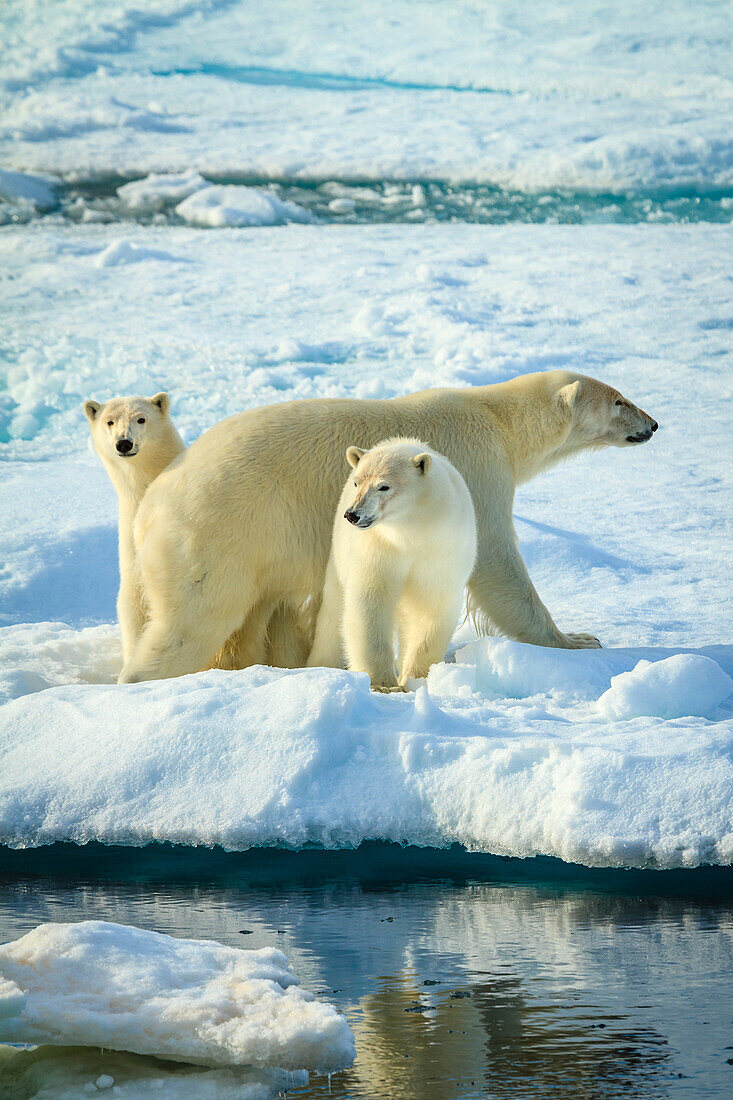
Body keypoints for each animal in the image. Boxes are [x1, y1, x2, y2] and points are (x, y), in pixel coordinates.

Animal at [305, 435, 477, 686]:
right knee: (333, 611)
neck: (410, 529)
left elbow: (431, 604)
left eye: (384, 486)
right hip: (339, 555)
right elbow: (371, 600)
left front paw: (415, 678)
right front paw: (384, 683)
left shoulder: (441, 549)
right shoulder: (380, 548)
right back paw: (322, 665)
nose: (353, 514)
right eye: (357, 483)